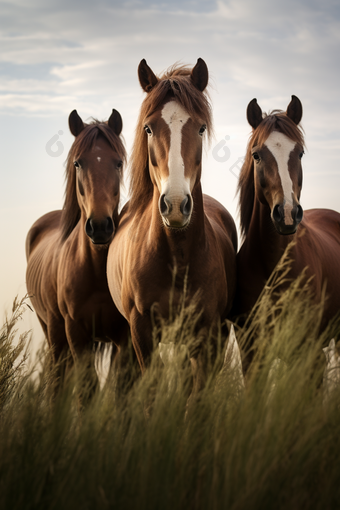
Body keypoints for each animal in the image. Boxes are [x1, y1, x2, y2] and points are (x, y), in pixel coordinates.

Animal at [26, 109, 129, 390]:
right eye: (78, 164)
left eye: (118, 163)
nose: (100, 226)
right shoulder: (76, 333)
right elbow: (87, 388)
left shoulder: (123, 338)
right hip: (53, 333)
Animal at [106, 57, 236, 396]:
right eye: (149, 128)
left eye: (201, 127)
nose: (176, 204)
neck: (176, 257)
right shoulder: (141, 332)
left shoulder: (207, 333)